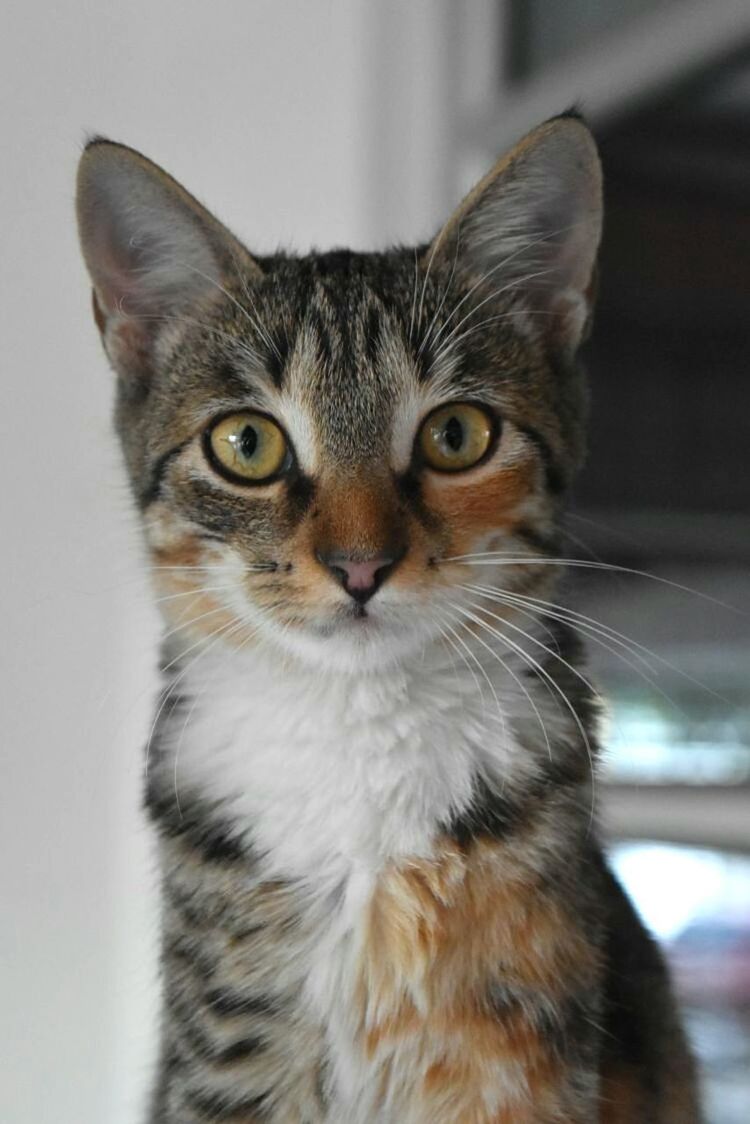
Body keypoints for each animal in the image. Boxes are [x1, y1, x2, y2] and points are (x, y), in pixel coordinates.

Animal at [77, 116, 706, 1124]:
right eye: (246, 444)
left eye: (457, 436)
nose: (360, 565)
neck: (360, 732)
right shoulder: (226, 1053)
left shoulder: (518, 1058)